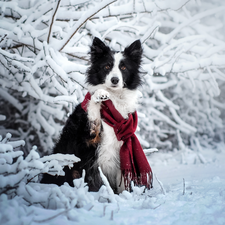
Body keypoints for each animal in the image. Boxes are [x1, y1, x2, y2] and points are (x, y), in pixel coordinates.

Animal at [41, 37, 145, 193]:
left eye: (124, 68)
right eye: (107, 67)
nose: (115, 80)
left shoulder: (122, 150)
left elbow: (123, 183)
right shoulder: (87, 142)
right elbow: (92, 110)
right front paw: (99, 95)